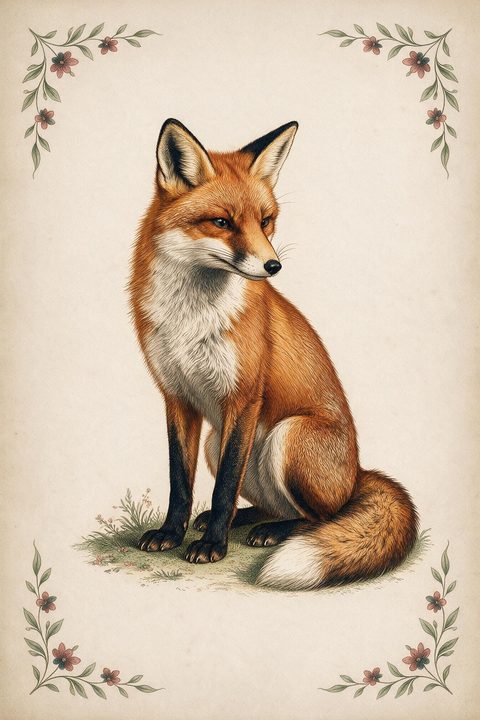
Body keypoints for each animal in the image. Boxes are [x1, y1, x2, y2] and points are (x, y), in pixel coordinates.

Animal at [129, 118, 418, 590]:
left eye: (266, 221)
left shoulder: (244, 398)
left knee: (322, 517)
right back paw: (250, 519)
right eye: (221, 222)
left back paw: (271, 532)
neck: (191, 319)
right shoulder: (177, 396)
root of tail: (359, 475)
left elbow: (223, 487)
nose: (273, 266)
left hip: (289, 434)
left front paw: (211, 546)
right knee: (272, 505)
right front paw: (172, 533)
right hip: (216, 440)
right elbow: (180, 482)